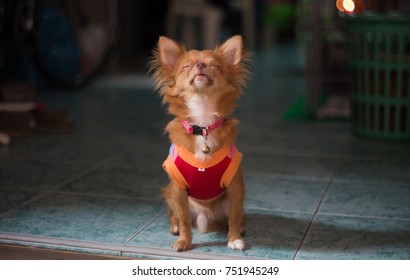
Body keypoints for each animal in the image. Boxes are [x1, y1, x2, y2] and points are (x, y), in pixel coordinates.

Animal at [151, 35, 250, 252]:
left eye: (214, 65)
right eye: (186, 66)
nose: (201, 64)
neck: (203, 125)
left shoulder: (236, 187)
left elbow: (234, 216)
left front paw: (234, 239)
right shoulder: (178, 190)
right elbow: (185, 220)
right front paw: (184, 241)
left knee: (235, 216)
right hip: (170, 194)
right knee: (176, 216)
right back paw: (175, 228)